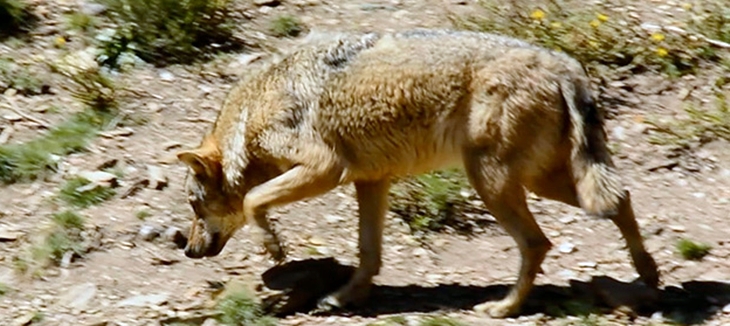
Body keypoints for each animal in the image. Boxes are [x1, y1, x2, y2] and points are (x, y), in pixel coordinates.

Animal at [173, 29, 656, 318]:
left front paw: (274, 246)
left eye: (195, 206)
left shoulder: (327, 168)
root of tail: (564, 65)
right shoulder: (371, 181)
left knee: (538, 242)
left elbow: (255, 200)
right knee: (621, 199)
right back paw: (648, 276)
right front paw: (346, 297)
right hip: (543, 181)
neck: (251, 114)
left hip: (493, 181)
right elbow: (369, 254)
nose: (189, 251)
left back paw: (503, 309)